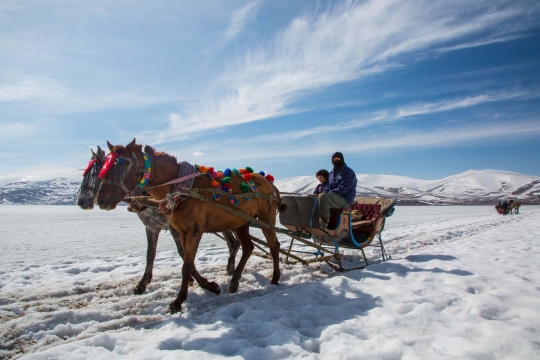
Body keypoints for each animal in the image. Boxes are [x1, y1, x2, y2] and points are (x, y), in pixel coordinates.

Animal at [77, 146, 240, 296]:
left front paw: (201, 282)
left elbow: (183, 253)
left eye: (96, 173)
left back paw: (231, 268)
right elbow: (150, 254)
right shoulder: (151, 227)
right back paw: (230, 268)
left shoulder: (176, 229)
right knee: (232, 242)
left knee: (234, 242)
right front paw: (142, 284)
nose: (81, 202)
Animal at [96, 139, 282, 314]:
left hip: (266, 219)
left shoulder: (194, 232)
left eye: (119, 166)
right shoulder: (181, 232)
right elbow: (185, 261)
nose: (101, 200)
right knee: (248, 247)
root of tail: (269, 182)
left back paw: (275, 278)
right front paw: (211, 286)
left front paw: (178, 302)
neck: (182, 190)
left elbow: (186, 266)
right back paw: (234, 281)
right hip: (241, 222)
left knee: (273, 245)